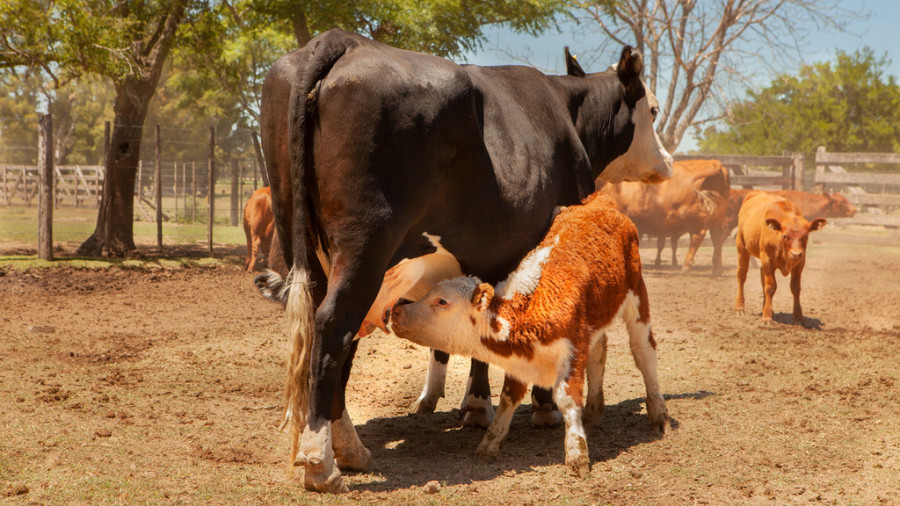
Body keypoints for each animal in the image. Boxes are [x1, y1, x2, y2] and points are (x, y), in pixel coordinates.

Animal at [388, 193, 668, 474]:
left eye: (442, 301)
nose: (397, 310)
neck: (531, 311)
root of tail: (600, 202)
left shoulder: (574, 349)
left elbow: (566, 399)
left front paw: (577, 453)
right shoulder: (519, 360)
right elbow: (508, 398)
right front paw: (489, 443)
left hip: (636, 296)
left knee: (644, 353)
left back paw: (658, 413)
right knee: (599, 353)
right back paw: (593, 410)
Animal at [596, 159, 732, 274]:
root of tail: (713, 162)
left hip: (692, 217)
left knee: (699, 236)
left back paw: (687, 265)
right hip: (717, 218)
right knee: (717, 238)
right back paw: (718, 268)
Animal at [736, 190, 828, 324]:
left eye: (806, 236)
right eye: (785, 236)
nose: (796, 254)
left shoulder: (800, 263)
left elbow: (795, 288)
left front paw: (798, 317)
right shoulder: (767, 260)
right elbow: (770, 287)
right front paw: (767, 317)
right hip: (742, 247)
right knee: (742, 276)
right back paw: (739, 307)